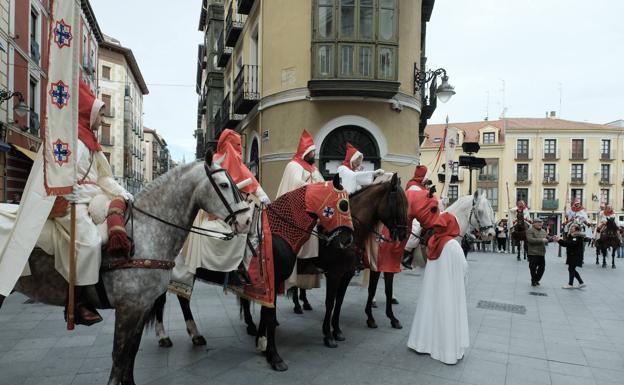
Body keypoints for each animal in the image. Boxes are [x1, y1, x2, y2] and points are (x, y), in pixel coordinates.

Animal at [1, 152, 254, 384]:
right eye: (224, 184)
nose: (246, 222)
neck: (146, 232)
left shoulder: (141, 307)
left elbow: (129, 357)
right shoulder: (128, 309)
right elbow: (119, 358)